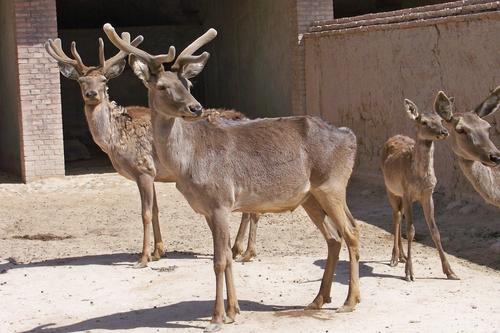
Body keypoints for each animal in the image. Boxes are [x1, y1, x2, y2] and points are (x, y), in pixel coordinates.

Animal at [45, 34, 260, 268]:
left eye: (104, 81)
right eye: (81, 81)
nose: (91, 94)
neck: (113, 140)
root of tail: (245, 117)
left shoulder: (143, 168)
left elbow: (145, 213)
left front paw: (144, 257)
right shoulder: (154, 174)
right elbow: (156, 211)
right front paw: (158, 252)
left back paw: (244, 251)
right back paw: (241, 250)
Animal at [102, 22, 360, 330]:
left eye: (188, 85)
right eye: (162, 86)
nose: (196, 108)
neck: (188, 165)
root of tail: (351, 137)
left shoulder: (221, 201)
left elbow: (219, 261)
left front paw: (216, 318)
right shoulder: (207, 209)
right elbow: (226, 255)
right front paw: (233, 310)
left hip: (333, 185)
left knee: (352, 233)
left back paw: (350, 301)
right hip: (310, 196)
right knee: (333, 238)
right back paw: (319, 299)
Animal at [380, 92, 458, 280]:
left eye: (441, 120)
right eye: (424, 122)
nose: (444, 132)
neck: (420, 179)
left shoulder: (428, 194)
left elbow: (435, 230)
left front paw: (450, 272)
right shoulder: (408, 192)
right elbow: (411, 230)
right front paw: (409, 273)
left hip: (400, 195)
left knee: (400, 216)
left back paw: (402, 256)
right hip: (390, 189)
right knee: (396, 216)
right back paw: (394, 257)